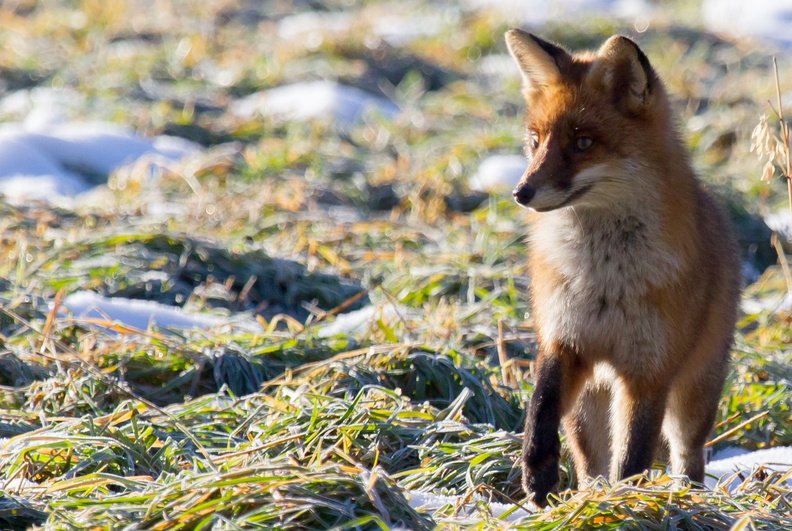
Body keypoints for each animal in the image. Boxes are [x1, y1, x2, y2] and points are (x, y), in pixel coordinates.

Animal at [508, 28, 744, 508]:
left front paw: (627, 502)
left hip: (693, 394)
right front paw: (536, 472)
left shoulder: (649, 371)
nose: (521, 192)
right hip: (587, 407)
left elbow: (634, 455)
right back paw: (586, 496)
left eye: (583, 143)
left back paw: (686, 498)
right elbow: (540, 405)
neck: (604, 280)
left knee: (687, 454)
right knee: (590, 466)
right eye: (535, 141)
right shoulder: (564, 341)